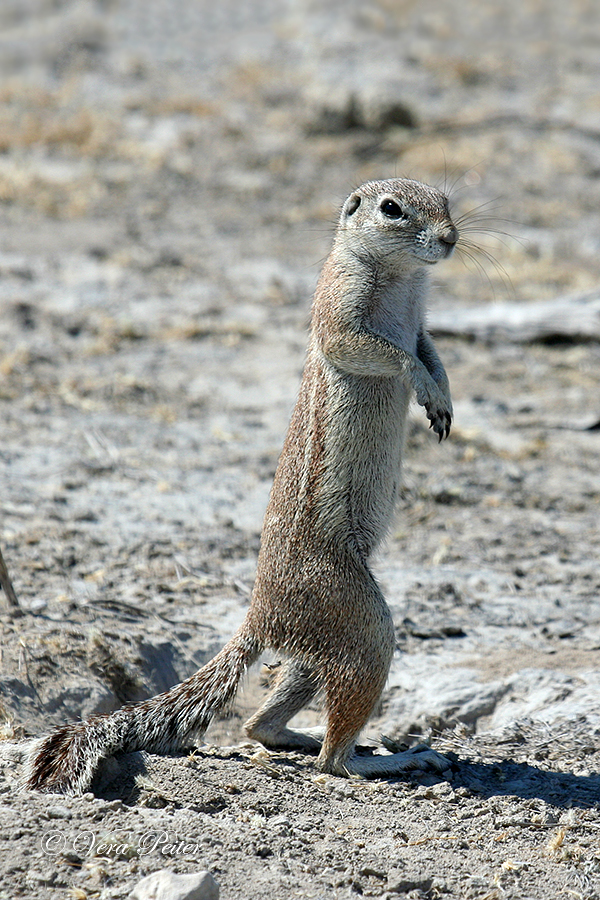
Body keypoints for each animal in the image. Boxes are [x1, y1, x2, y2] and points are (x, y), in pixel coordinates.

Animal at [27, 179, 460, 792]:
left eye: (446, 201)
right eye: (392, 209)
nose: (450, 239)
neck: (402, 279)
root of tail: (259, 613)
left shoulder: (421, 325)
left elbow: (430, 350)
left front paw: (442, 395)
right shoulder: (340, 313)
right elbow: (384, 353)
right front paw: (422, 385)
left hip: (323, 643)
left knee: (263, 722)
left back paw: (300, 735)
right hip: (360, 620)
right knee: (332, 760)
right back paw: (384, 758)